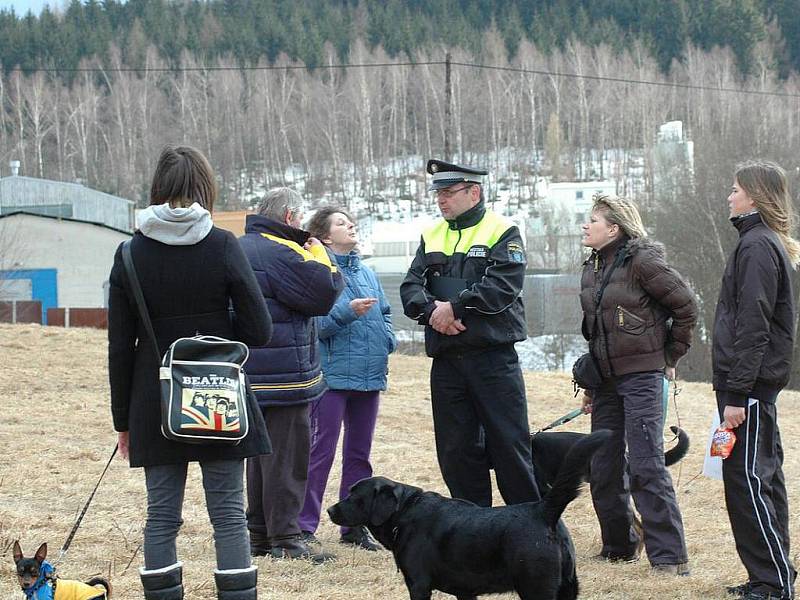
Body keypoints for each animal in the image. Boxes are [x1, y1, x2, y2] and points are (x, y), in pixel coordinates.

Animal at [328, 428, 608, 596]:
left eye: (354, 496)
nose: (330, 510)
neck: (405, 512)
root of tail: (543, 510)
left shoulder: (418, 583)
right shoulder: (465, 591)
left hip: (536, 586)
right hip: (568, 587)